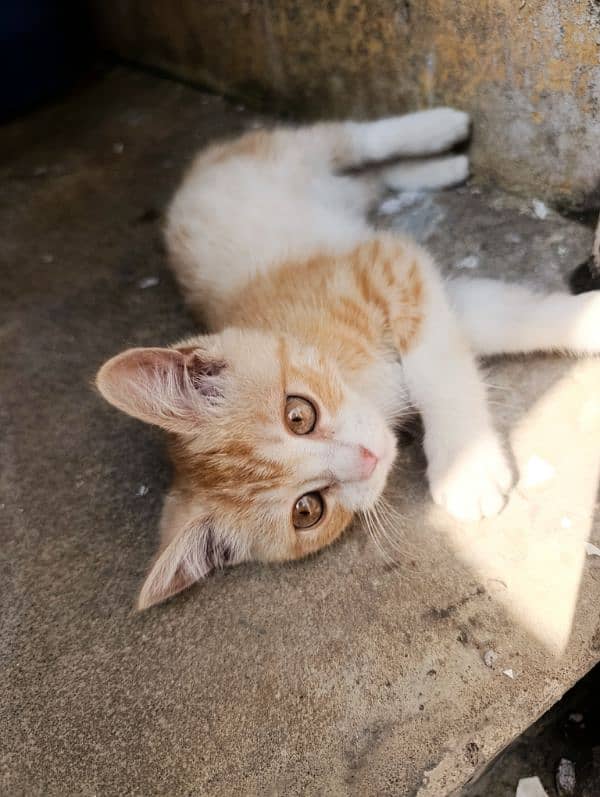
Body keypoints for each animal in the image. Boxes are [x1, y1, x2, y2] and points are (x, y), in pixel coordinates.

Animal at [96, 110, 600, 608]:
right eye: (307, 510)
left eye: (298, 414)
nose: (368, 458)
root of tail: (186, 184)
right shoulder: (426, 293)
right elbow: (501, 320)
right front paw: (587, 320)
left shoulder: (388, 268)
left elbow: (437, 369)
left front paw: (465, 465)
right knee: (371, 179)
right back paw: (440, 168)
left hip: (290, 155)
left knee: (353, 140)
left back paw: (438, 128)